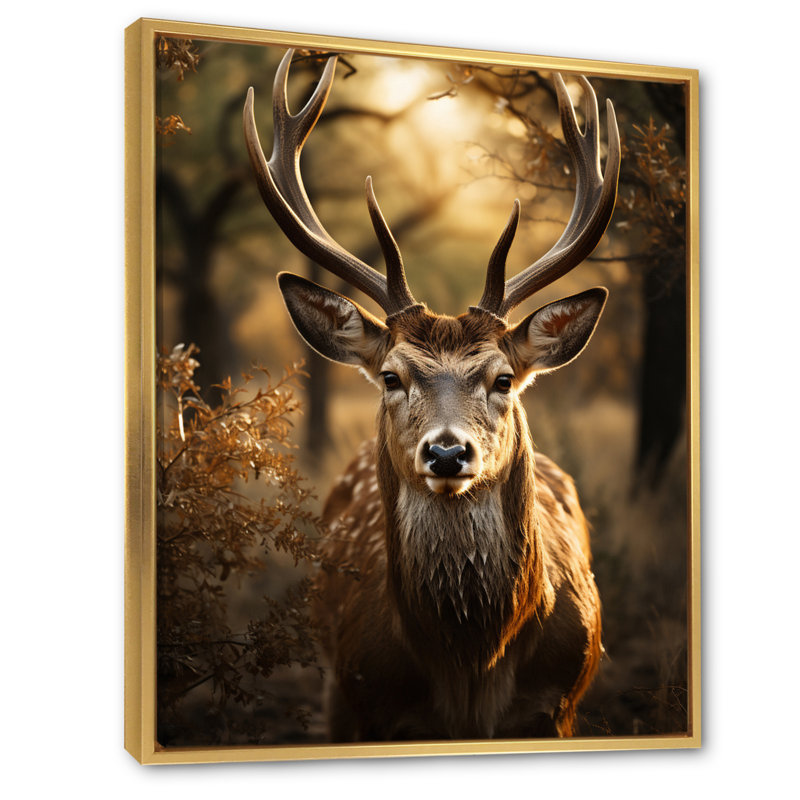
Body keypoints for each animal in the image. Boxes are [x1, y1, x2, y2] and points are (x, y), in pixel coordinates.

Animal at [243, 49, 620, 741]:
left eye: (503, 378)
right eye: (392, 376)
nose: (448, 453)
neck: (470, 668)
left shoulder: (560, 703)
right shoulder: (368, 697)